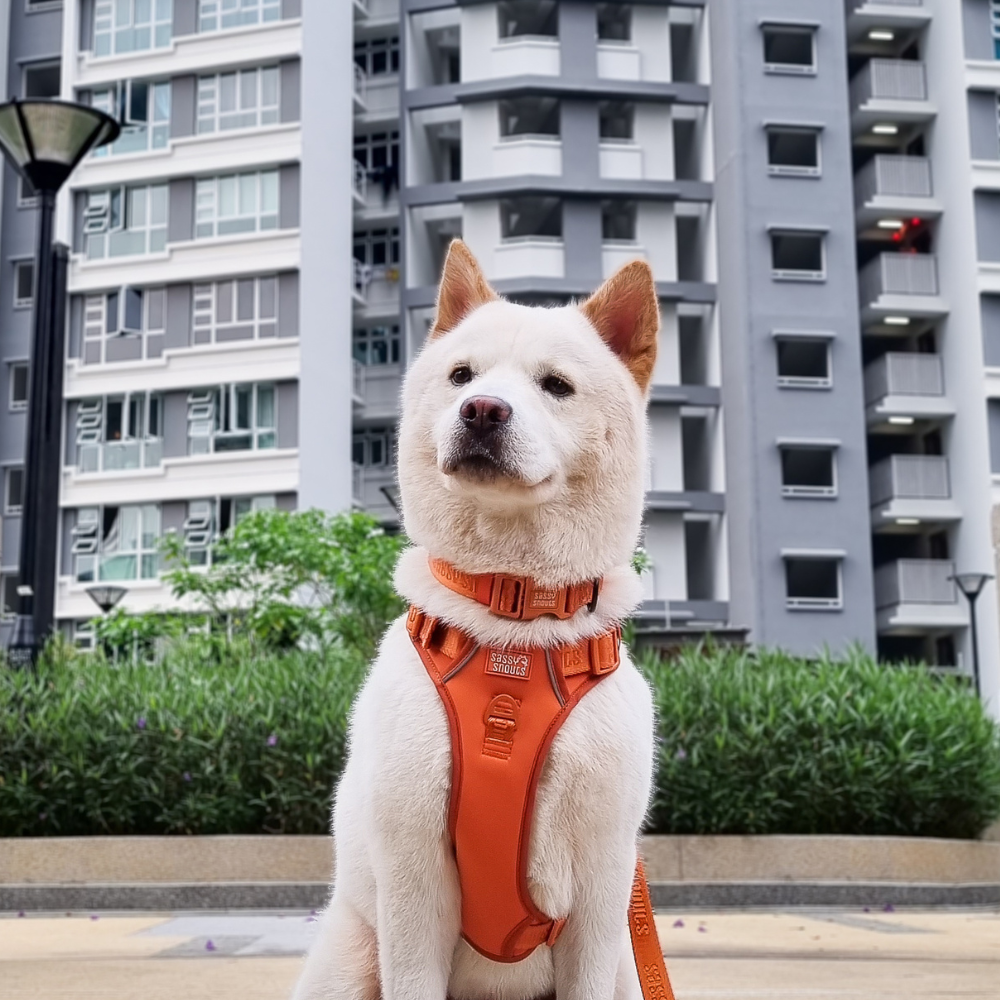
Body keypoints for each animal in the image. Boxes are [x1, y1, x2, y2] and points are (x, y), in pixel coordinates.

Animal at [292, 242, 660, 1000]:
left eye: (556, 385)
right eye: (461, 374)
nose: (482, 409)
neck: (512, 613)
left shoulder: (602, 885)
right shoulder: (412, 872)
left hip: (623, 965)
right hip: (351, 954)